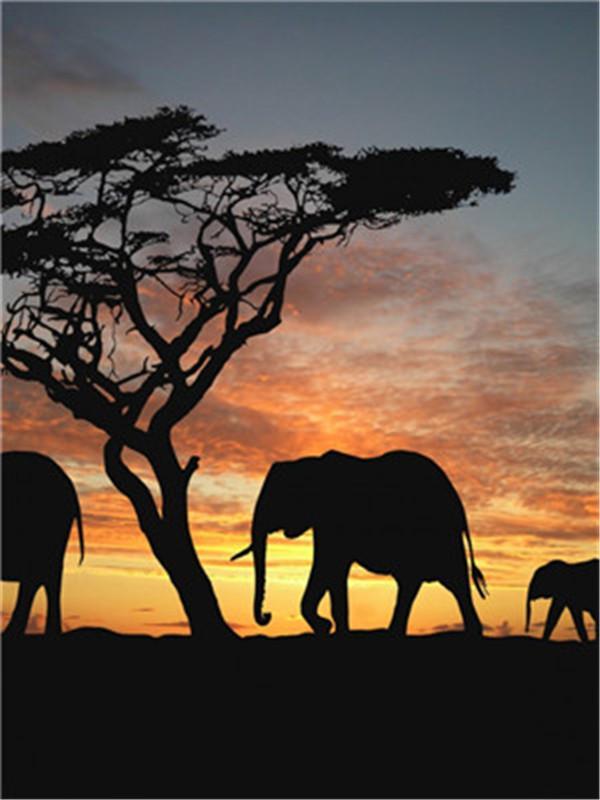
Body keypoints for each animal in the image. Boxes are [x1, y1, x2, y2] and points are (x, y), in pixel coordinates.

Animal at [232, 449, 488, 636]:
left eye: (277, 500)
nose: (267, 615)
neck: (309, 463)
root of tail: (457, 502)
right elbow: (330, 571)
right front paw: (330, 629)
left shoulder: (334, 518)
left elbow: (328, 566)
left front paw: (327, 628)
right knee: (417, 582)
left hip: (439, 534)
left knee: (453, 581)